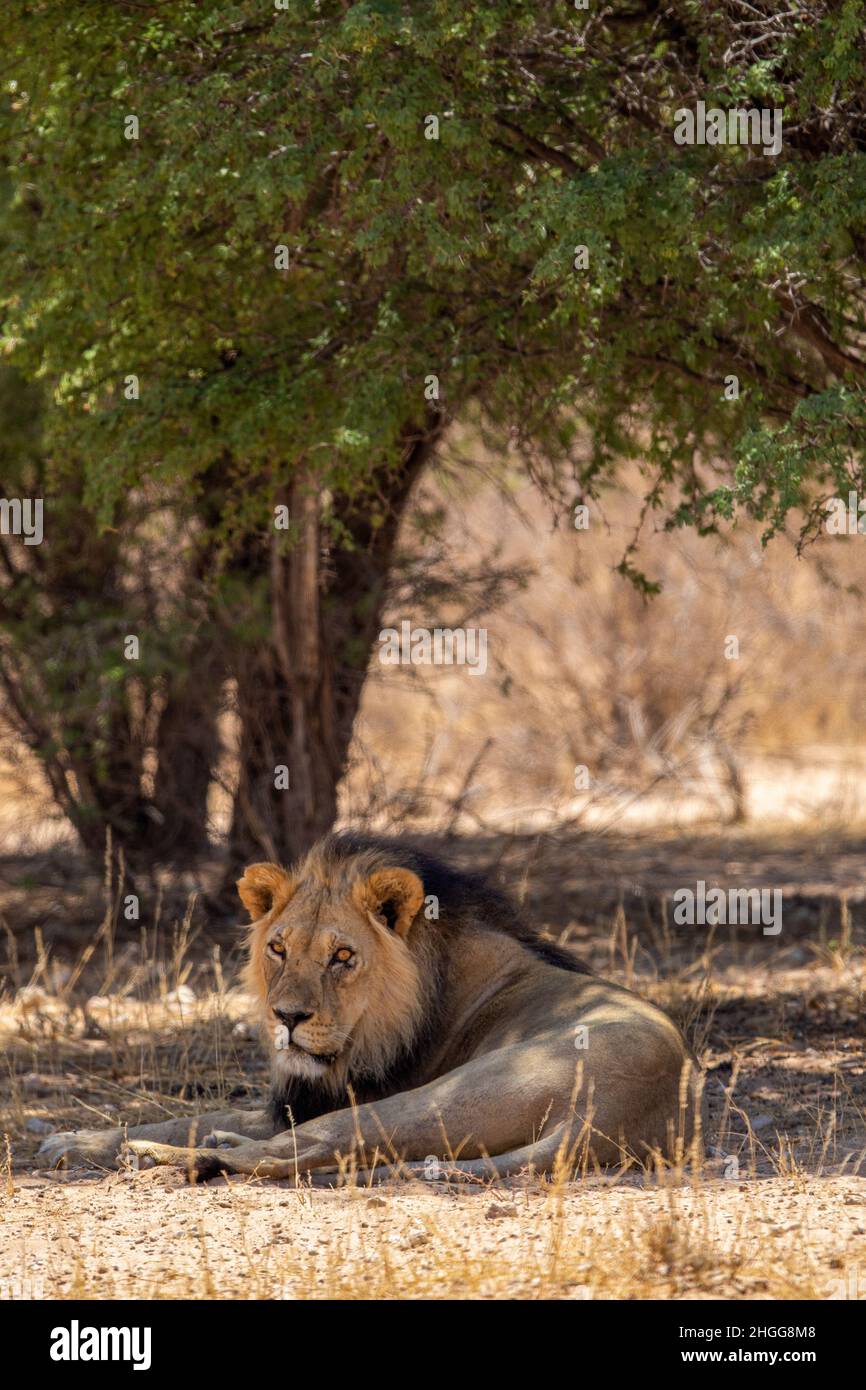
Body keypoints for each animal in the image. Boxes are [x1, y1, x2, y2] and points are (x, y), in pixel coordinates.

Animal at [38, 833, 703, 1182]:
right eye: (278, 949)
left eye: (342, 957)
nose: (288, 1018)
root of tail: (609, 1116)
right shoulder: (292, 1098)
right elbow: (177, 1114)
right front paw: (70, 1139)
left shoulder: (336, 1096)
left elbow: (193, 1118)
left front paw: (98, 1143)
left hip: (438, 1096)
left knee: (307, 1148)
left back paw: (167, 1158)